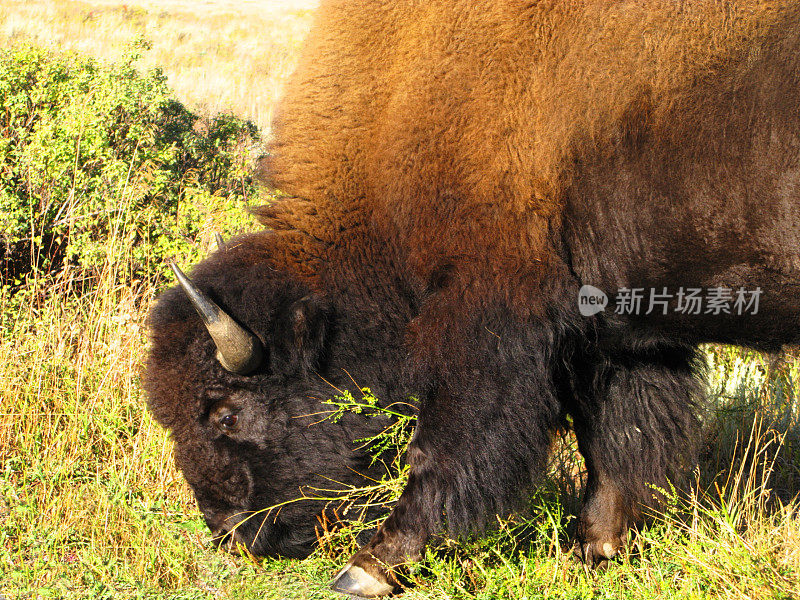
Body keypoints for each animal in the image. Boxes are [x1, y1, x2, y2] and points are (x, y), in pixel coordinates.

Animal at [144, 1, 800, 596]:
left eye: (227, 413)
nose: (231, 535)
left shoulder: (491, 323)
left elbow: (446, 446)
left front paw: (368, 568)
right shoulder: (616, 337)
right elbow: (615, 441)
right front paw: (595, 550)